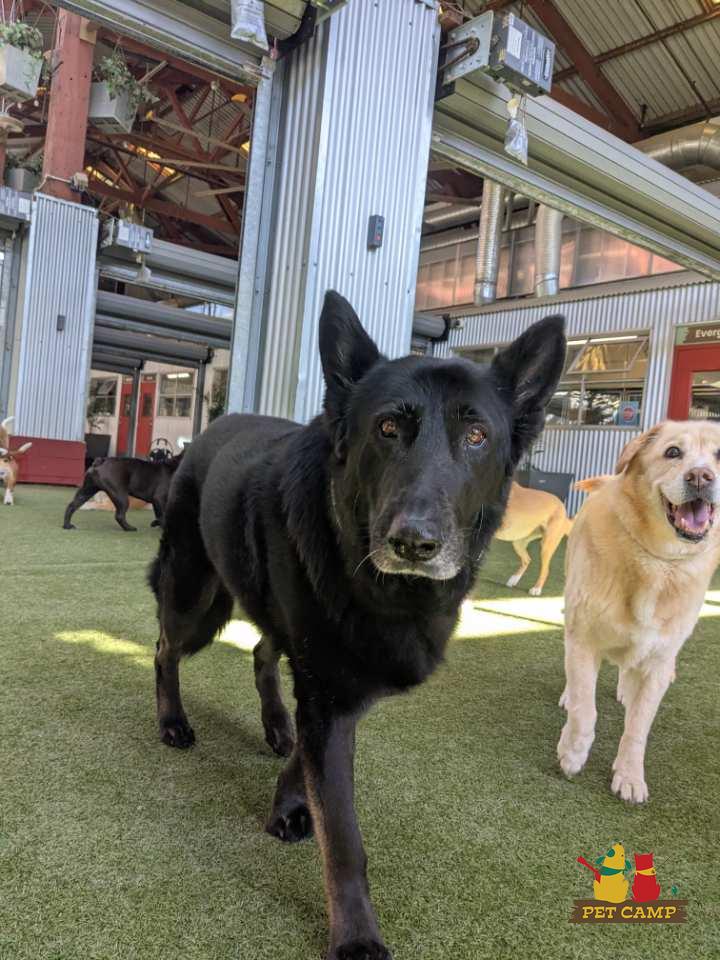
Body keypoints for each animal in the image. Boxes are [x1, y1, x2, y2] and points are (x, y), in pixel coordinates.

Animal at [148, 290, 565, 960]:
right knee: (164, 647)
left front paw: (289, 802)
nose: (415, 543)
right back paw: (172, 721)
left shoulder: (338, 687)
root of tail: (215, 424)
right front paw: (356, 937)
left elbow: (312, 760)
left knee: (261, 654)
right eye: (388, 429)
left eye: (476, 435)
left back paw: (275, 726)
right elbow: (343, 836)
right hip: (197, 599)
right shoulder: (330, 690)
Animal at [558, 420, 720, 804]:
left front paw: (630, 775)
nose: (702, 476)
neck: (660, 562)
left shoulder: (660, 661)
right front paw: (572, 753)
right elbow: (585, 709)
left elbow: (638, 726)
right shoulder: (583, 639)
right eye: (673, 452)